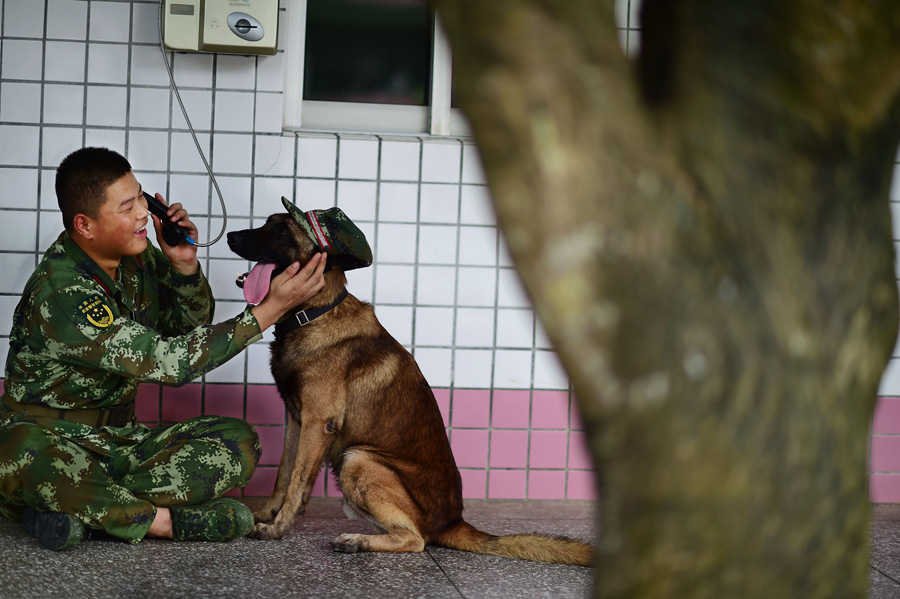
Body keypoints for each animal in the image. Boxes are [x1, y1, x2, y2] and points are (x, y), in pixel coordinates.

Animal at [225, 200, 596, 568]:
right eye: (266, 222)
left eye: (283, 231)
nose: (230, 236)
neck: (315, 313)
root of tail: (452, 522)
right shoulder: (296, 418)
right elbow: (285, 474)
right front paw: (267, 514)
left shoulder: (318, 422)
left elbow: (297, 482)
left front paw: (278, 528)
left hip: (358, 459)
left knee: (415, 539)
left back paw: (358, 541)